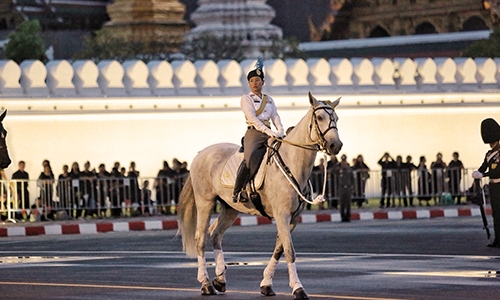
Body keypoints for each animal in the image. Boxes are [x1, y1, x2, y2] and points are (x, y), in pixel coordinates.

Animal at [178, 92, 342, 298]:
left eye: (336, 118)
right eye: (320, 117)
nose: (336, 145)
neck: (292, 162)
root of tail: (200, 154)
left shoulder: (293, 218)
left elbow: (279, 249)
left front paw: (266, 284)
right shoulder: (282, 215)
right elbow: (289, 250)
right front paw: (298, 288)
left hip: (230, 208)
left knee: (215, 233)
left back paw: (220, 278)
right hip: (205, 202)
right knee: (200, 238)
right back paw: (206, 283)